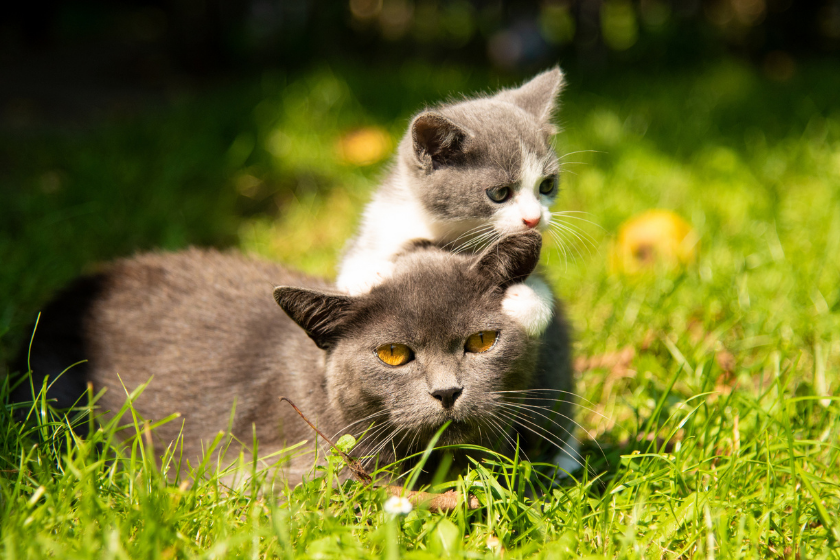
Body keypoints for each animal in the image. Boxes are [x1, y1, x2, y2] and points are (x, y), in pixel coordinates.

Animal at [338, 66, 568, 336]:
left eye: (547, 185)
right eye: (500, 193)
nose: (534, 218)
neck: (448, 230)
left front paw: (529, 299)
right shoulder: (385, 216)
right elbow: (358, 251)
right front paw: (364, 274)